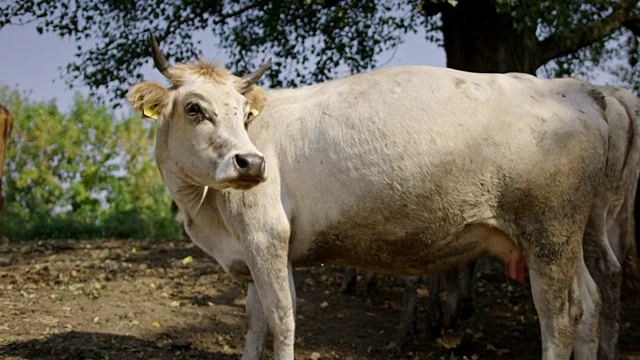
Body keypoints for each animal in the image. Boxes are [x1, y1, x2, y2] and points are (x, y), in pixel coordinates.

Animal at [127, 32, 628, 358]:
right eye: (194, 108)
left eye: (243, 111)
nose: (251, 163)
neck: (206, 215)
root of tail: (575, 89)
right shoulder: (258, 250)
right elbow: (255, 321)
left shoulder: (264, 235)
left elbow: (282, 319)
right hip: (574, 234)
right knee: (590, 302)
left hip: (549, 234)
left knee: (560, 316)